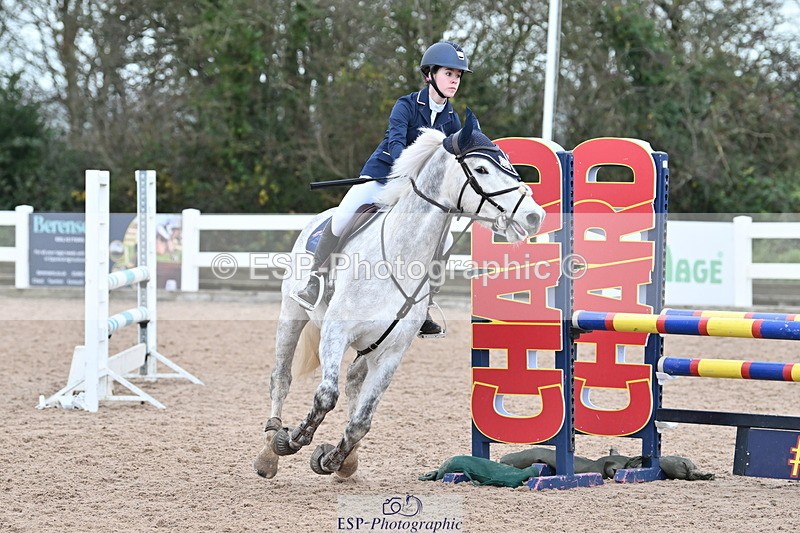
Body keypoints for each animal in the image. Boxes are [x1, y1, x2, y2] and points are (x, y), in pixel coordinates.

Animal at [253, 110, 546, 479]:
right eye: (481, 170)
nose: (534, 216)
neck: (399, 255)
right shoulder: (336, 331)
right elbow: (326, 395)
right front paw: (292, 440)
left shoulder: (391, 351)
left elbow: (361, 420)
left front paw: (332, 459)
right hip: (292, 314)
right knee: (281, 377)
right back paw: (269, 450)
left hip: (368, 345)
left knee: (354, 381)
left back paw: (347, 462)